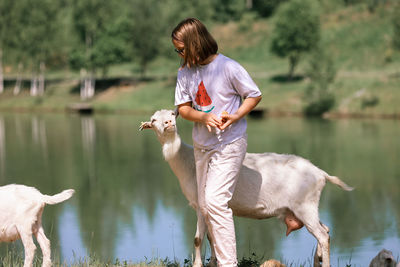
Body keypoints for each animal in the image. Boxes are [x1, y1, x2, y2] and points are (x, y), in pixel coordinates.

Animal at [140, 109, 354, 267]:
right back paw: (317, 261)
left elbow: (198, 239)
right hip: (305, 207)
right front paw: (213, 263)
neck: (186, 160)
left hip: (304, 205)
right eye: (154, 120)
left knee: (322, 235)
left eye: (172, 114)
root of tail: (321, 173)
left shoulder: (201, 204)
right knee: (325, 230)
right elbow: (211, 237)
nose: (168, 124)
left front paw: (198, 265)